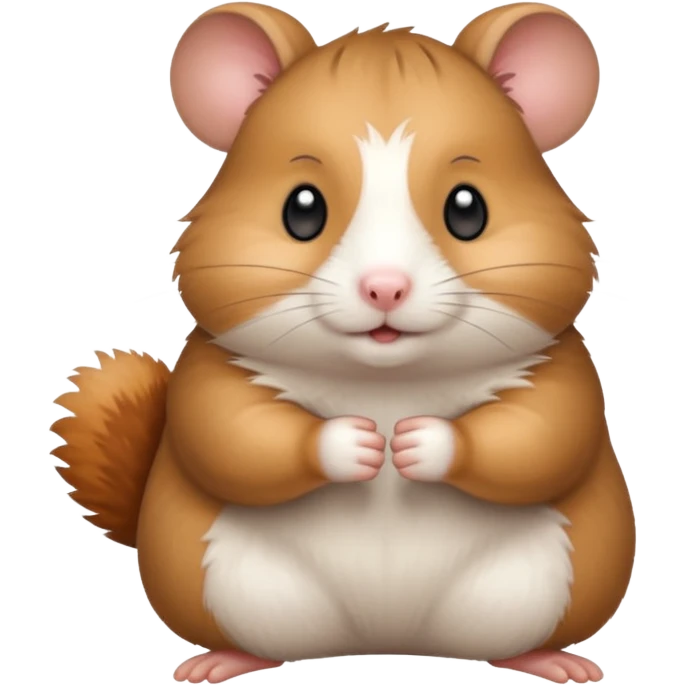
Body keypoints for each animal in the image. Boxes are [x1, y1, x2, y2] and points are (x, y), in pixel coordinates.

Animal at [50, 2, 636, 684]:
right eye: (301, 210)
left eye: (469, 210)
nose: (385, 287)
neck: (384, 382)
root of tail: (385, 636)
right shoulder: (210, 366)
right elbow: (228, 437)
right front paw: (353, 444)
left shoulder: (563, 366)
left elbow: (544, 438)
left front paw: (421, 443)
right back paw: (220, 659)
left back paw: (551, 659)